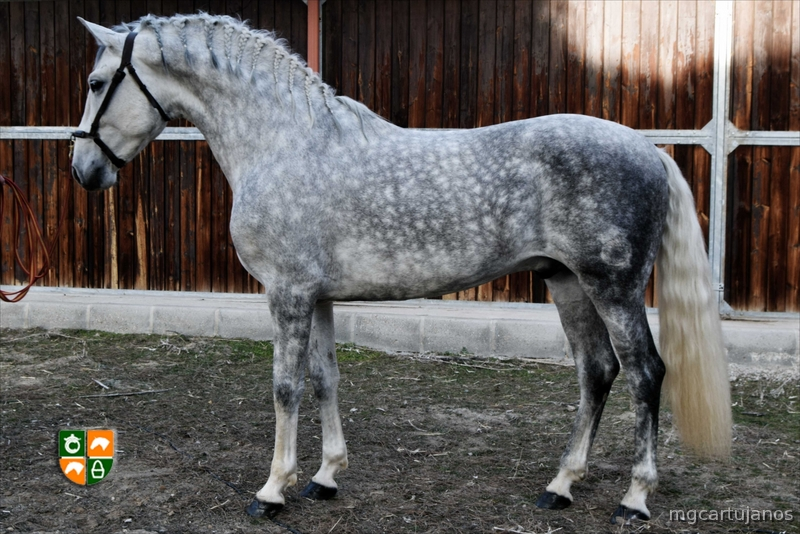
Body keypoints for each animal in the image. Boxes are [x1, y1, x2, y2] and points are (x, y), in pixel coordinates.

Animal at [70, 14, 731, 524]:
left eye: (98, 81)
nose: (84, 171)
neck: (285, 144)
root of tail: (648, 150)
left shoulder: (287, 293)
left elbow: (285, 388)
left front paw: (272, 490)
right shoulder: (319, 297)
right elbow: (325, 379)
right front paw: (325, 477)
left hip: (612, 286)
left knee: (645, 373)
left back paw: (634, 498)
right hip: (566, 282)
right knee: (596, 371)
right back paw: (561, 485)